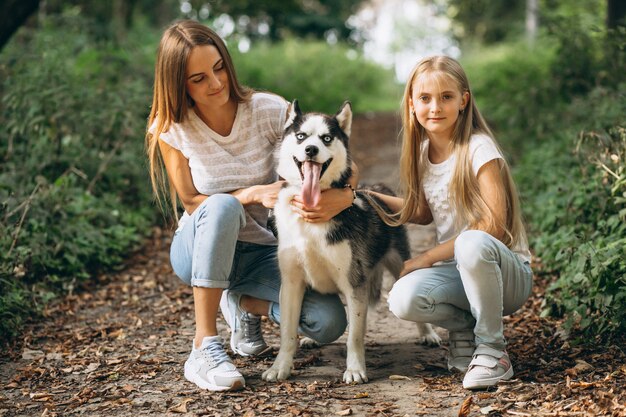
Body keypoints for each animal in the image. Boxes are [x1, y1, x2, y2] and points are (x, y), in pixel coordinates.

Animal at [260, 101, 436, 384]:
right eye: (301, 136)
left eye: (326, 138)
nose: (310, 150)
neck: (312, 215)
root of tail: (376, 187)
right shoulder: (291, 284)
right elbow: (287, 333)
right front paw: (280, 367)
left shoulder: (354, 283)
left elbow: (354, 335)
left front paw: (354, 369)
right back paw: (311, 339)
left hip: (398, 265)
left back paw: (428, 333)